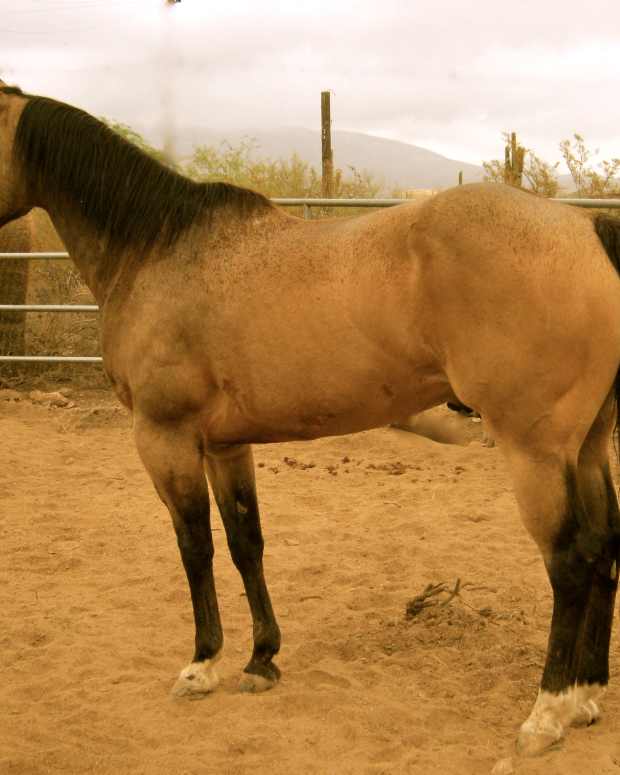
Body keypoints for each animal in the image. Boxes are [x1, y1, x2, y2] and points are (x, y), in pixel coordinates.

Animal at [1, 82, 620, 758]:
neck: (158, 250)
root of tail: (584, 225)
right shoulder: (224, 446)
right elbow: (245, 542)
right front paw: (261, 659)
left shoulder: (166, 439)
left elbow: (195, 546)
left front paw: (202, 664)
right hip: (588, 446)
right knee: (604, 546)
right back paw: (587, 696)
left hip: (535, 451)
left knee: (568, 561)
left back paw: (548, 713)